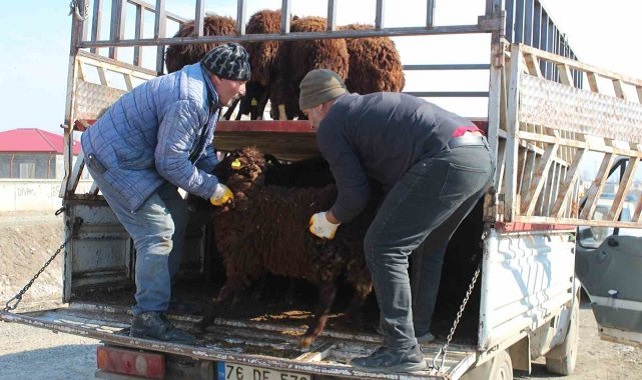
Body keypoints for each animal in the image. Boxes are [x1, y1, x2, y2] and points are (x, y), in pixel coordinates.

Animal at [195, 146, 376, 348]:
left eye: (227, 160)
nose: (212, 170)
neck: (248, 194)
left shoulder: (240, 255)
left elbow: (226, 290)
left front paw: (205, 321)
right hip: (354, 256)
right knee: (362, 288)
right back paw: (347, 319)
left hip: (324, 256)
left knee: (331, 292)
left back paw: (311, 333)